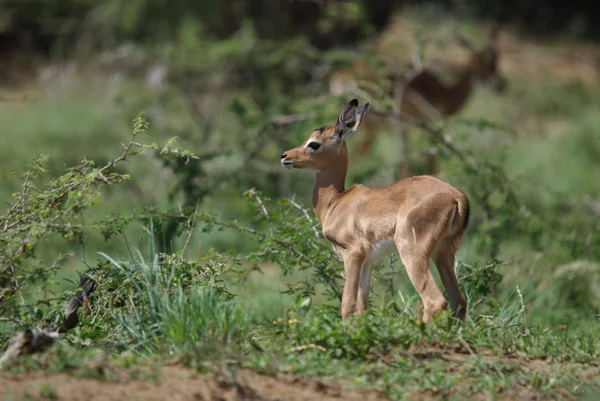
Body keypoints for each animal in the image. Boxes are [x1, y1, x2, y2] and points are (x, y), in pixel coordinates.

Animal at [278, 99, 472, 322]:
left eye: (314, 143)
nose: (285, 156)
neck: (335, 202)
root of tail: (456, 196)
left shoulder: (353, 254)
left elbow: (348, 305)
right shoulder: (368, 261)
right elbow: (363, 307)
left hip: (412, 253)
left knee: (435, 302)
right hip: (444, 253)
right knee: (459, 301)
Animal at [328, 25, 506, 179]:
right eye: (486, 63)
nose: (501, 84)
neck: (445, 94)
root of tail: (344, 76)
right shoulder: (426, 129)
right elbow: (428, 164)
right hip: (373, 129)